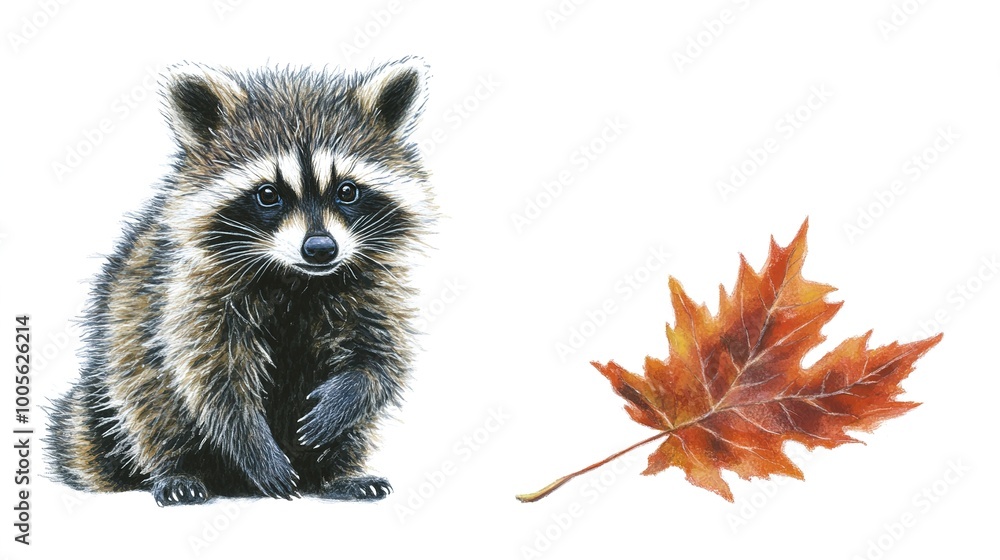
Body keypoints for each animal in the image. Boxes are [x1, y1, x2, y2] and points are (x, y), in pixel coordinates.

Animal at [46, 59, 434, 506]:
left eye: (347, 191)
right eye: (268, 194)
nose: (320, 248)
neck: (298, 278)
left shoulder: (373, 283)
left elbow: (381, 358)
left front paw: (349, 396)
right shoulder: (191, 286)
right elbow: (211, 377)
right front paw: (253, 447)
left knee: (353, 430)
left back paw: (335, 474)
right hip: (121, 349)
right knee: (149, 400)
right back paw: (177, 470)